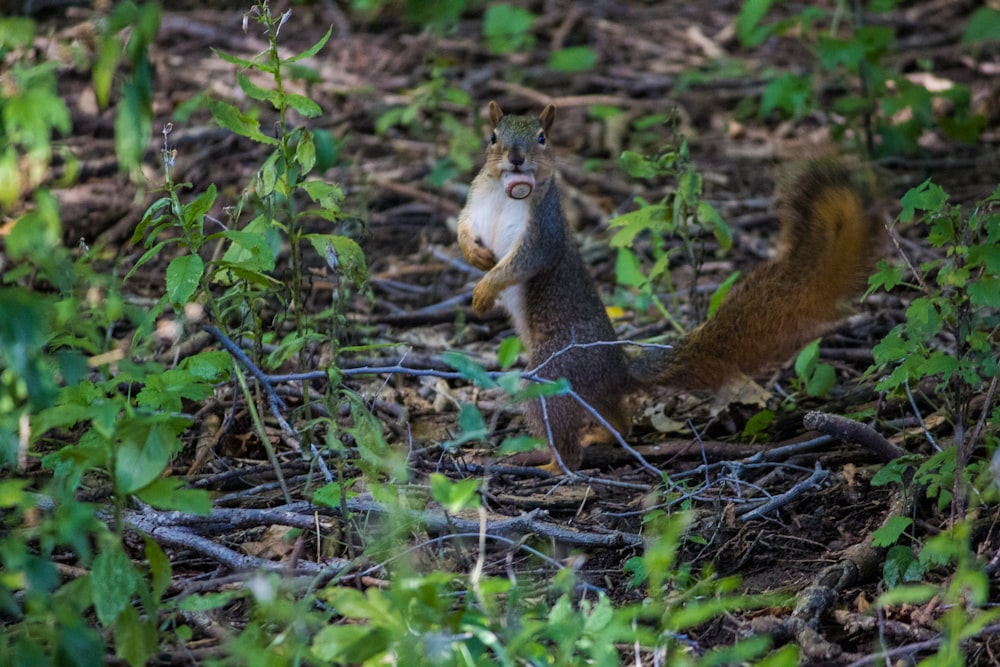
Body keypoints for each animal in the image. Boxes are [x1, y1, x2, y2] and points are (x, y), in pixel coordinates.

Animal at [458, 102, 880, 472]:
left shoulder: (543, 229)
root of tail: (617, 370)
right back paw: (603, 437)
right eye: (493, 136)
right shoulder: (475, 204)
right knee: (617, 417)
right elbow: (463, 228)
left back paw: (554, 466)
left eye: (542, 138)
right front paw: (475, 258)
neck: (502, 195)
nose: (516, 158)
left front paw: (485, 289)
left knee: (567, 439)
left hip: (553, 375)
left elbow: (524, 261)